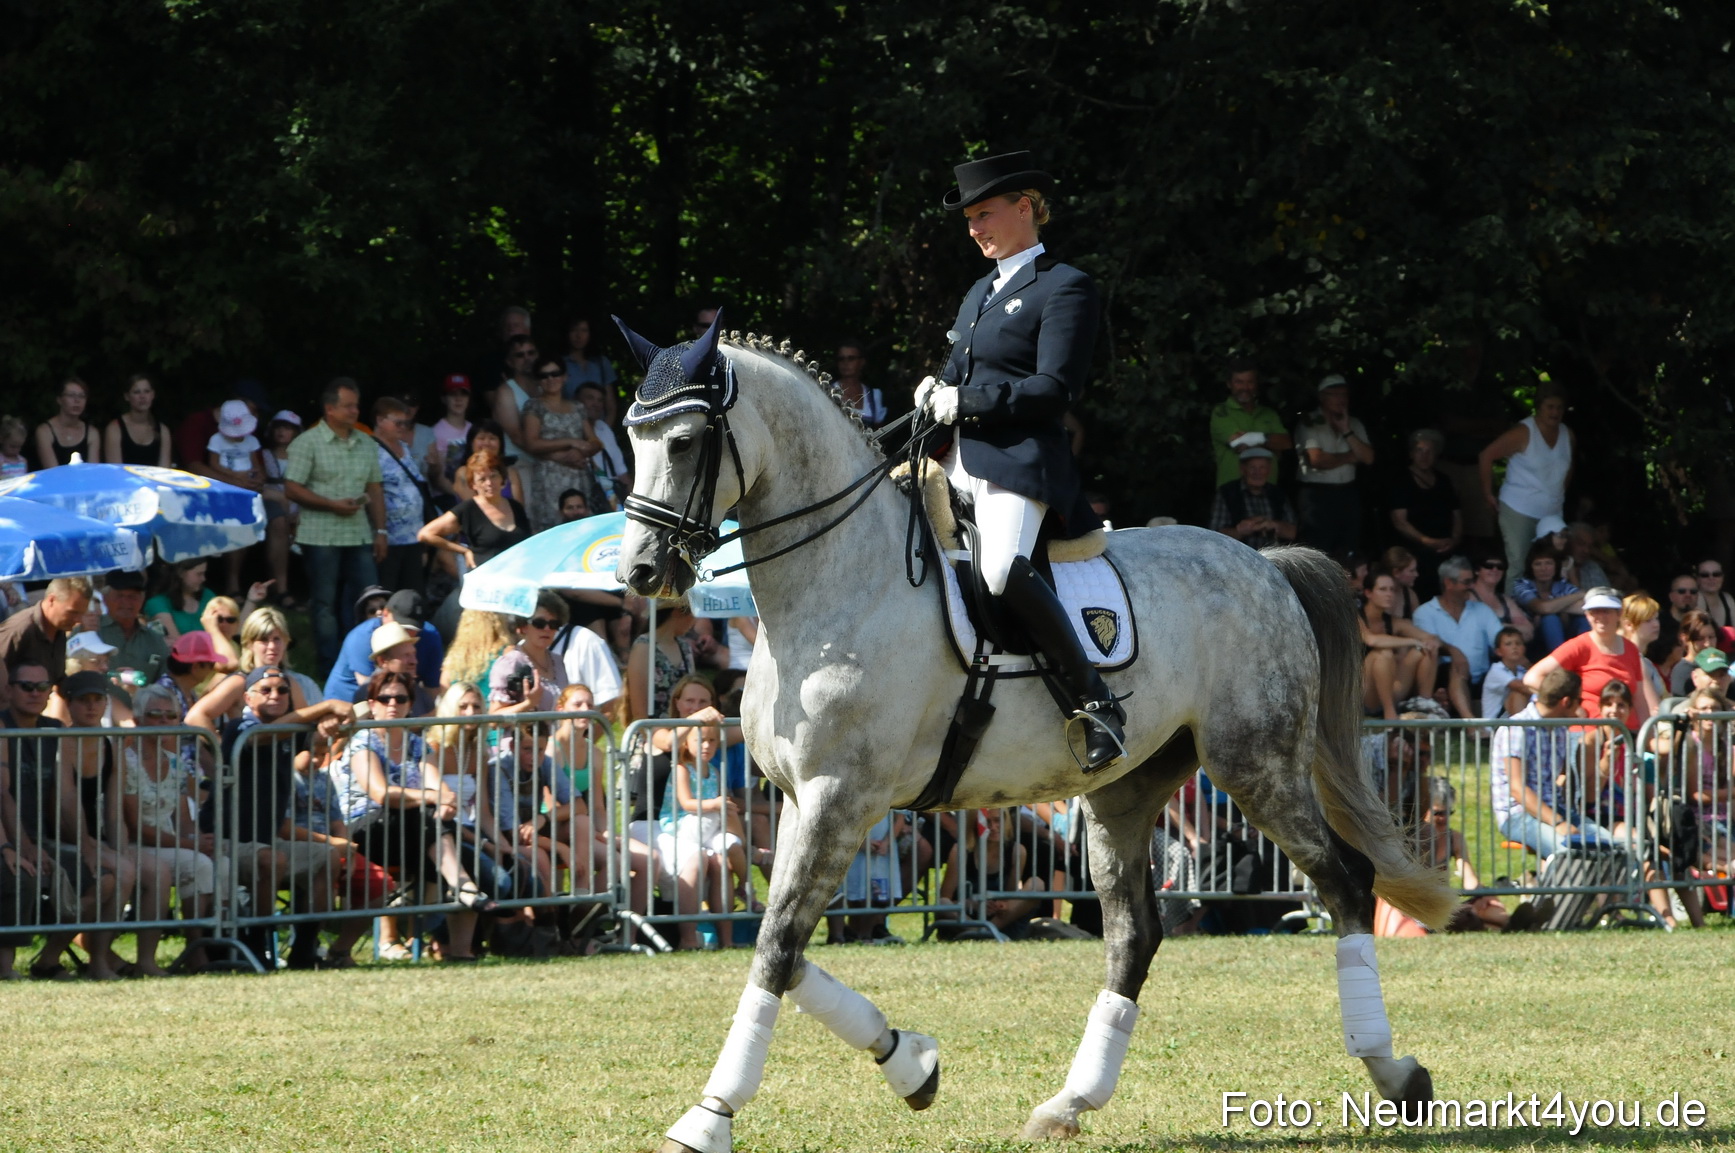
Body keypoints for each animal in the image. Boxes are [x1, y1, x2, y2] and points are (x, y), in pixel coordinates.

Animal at [611, 320, 1455, 1153]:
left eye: (682, 441)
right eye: (631, 436)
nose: (641, 572)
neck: (839, 584)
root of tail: (1264, 562)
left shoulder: (840, 798)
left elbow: (779, 943)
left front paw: (710, 1114)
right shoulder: (798, 799)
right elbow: (782, 945)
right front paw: (911, 1061)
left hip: (1257, 764)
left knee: (1345, 881)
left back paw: (1395, 1073)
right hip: (1125, 790)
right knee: (1133, 933)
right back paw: (1069, 1102)